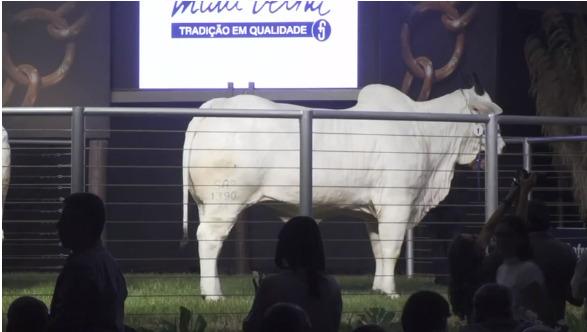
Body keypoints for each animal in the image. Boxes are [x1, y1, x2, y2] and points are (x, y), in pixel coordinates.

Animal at [183, 83, 506, 300]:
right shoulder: (397, 202)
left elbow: (379, 250)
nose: (502, 145)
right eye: (493, 116)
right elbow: (392, 247)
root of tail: (213, 107)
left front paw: (379, 287)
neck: (426, 132)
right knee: (209, 239)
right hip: (225, 201)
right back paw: (213, 294)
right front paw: (391, 291)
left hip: (206, 203)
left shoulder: (373, 213)